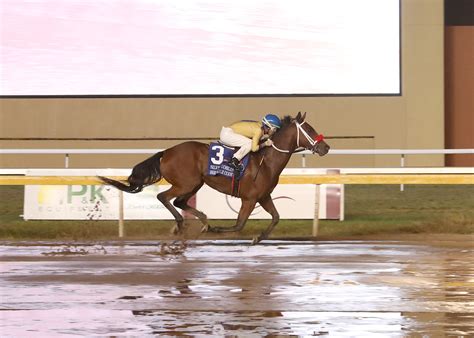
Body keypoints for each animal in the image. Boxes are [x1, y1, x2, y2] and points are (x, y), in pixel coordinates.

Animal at [99, 113, 330, 243]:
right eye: (309, 129)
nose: (325, 147)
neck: (267, 161)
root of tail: (166, 152)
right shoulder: (250, 198)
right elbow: (239, 224)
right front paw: (218, 229)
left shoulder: (264, 196)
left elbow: (276, 217)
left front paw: (258, 237)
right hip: (186, 183)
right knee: (164, 197)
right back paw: (182, 224)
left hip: (195, 184)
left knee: (179, 202)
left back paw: (200, 221)